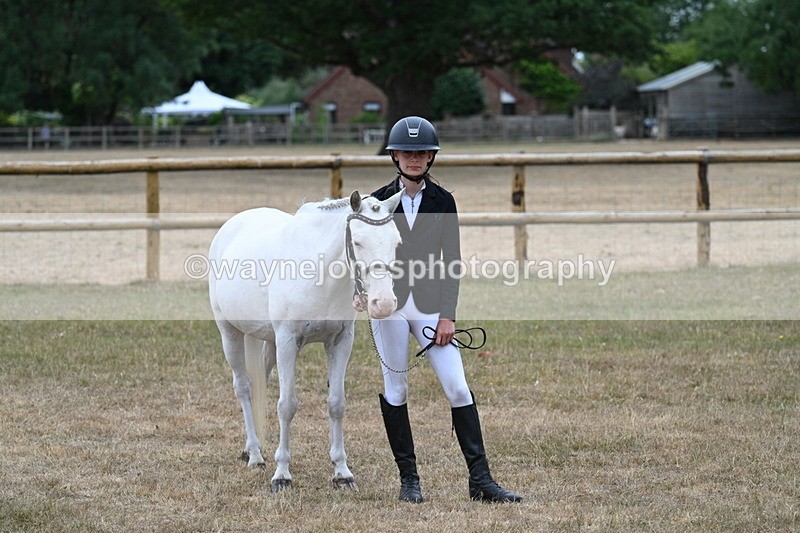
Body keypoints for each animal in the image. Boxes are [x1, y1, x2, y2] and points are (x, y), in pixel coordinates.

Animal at [208, 190, 403, 492]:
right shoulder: (288, 342)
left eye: (396, 242)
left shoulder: (340, 342)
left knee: (260, 384)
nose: (383, 303)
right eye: (357, 241)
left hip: (268, 343)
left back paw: (256, 448)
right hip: (230, 334)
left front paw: (342, 473)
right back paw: (255, 455)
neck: (319, 274)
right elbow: (287, 406)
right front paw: (282, 475)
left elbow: (336, 404)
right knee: (244, 388)